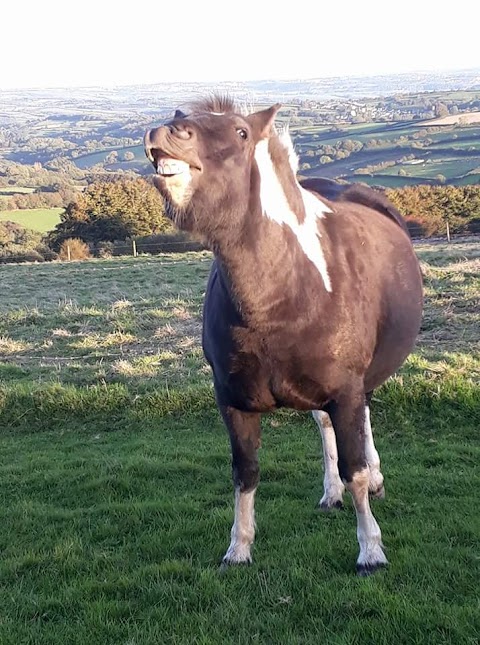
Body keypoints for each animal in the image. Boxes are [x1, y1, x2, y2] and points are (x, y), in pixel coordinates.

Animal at [144, 97, 422, 572]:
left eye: (241, 132)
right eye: (180, 117)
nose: (165, 135)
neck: (283, 294)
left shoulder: (346, 389)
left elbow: (355, 469)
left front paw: (371, 549)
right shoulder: (233, 401)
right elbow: (246, 472)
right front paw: (238, 548)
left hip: (361, 382)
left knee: (362, 423)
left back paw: (373, 482)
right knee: (325, 427)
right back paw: (331, 494)